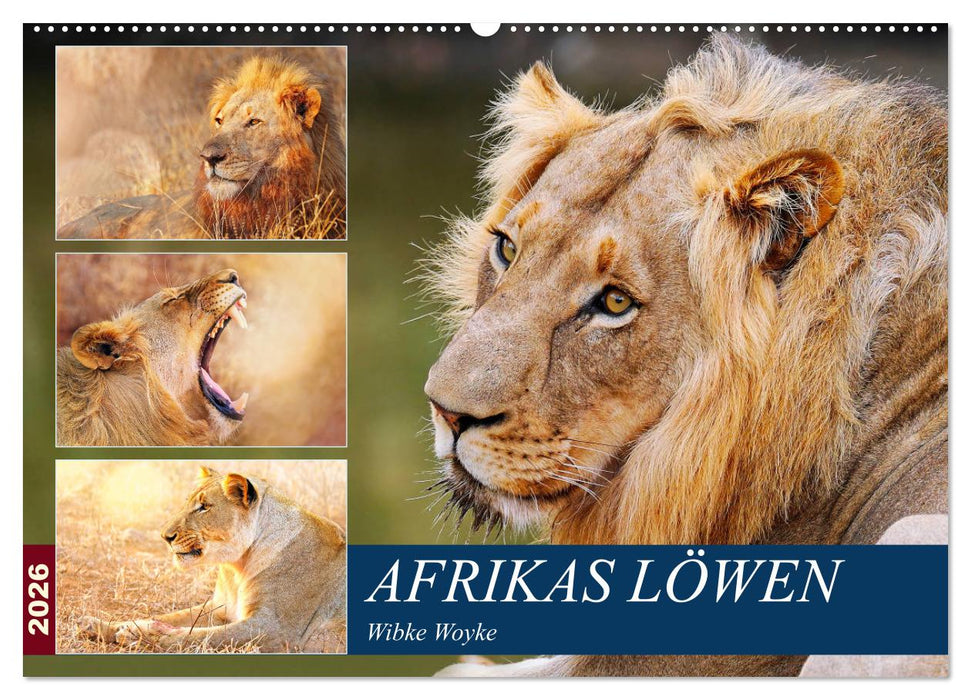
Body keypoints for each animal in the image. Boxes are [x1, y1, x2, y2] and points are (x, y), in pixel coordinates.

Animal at [80, 466, 347, 652]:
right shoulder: (220, 607)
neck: (238, 566)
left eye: (204, 507)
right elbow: (170, 617)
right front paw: (102, 625)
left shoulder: (277, 629)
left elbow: (204, 636)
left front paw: (144, 636)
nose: (165, 536)